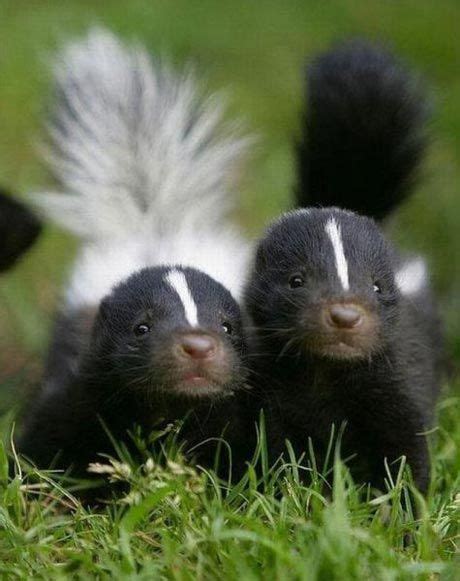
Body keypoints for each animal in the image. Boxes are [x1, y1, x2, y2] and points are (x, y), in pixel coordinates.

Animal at [18, 29, 252, 478]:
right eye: (141, 328)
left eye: (227, 327)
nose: (198, 346)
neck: (168, 407)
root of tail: (153, 225)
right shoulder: (83, 387)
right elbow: (47, 438)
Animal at [246, 42, 444, 494]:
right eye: (296, 280)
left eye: (376, 286)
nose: (344, 316)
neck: (327, 373)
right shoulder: (274, 388)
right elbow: (277, 449)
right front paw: (286, 493)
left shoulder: (395, 377)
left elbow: (407, 448)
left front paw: (403, 507)